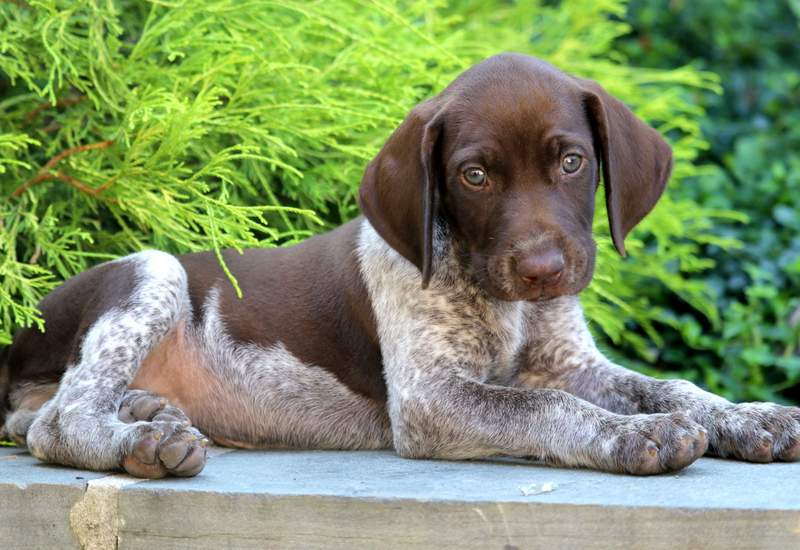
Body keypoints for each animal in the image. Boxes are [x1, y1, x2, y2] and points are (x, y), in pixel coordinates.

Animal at [1, 55, 800, 478]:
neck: (500, 299)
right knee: (57, 423)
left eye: (572, 162)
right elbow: (548, 409)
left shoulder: (567, 363)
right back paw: (141, 442)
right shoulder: (431, 400)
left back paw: (148, 412)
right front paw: (637, 435)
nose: (544, 269)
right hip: (154, 271)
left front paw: (748, 415)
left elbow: (668, 384)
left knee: (43, 412)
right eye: (475, 176)